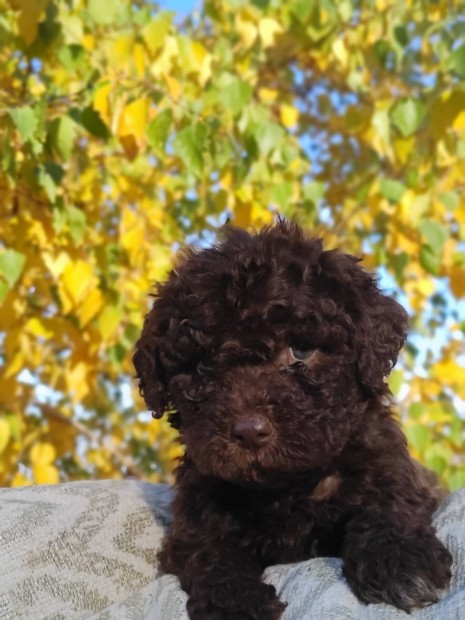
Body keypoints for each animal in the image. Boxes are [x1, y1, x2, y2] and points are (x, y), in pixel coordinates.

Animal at [132, 222, 452, 620]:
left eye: (301, 350)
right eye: (198, 365)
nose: (249, 432)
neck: (285, 486)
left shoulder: (386, 462)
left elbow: (391, 501)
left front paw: (400, 560)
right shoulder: (196, 510)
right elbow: (210, 552)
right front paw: (236, 602)